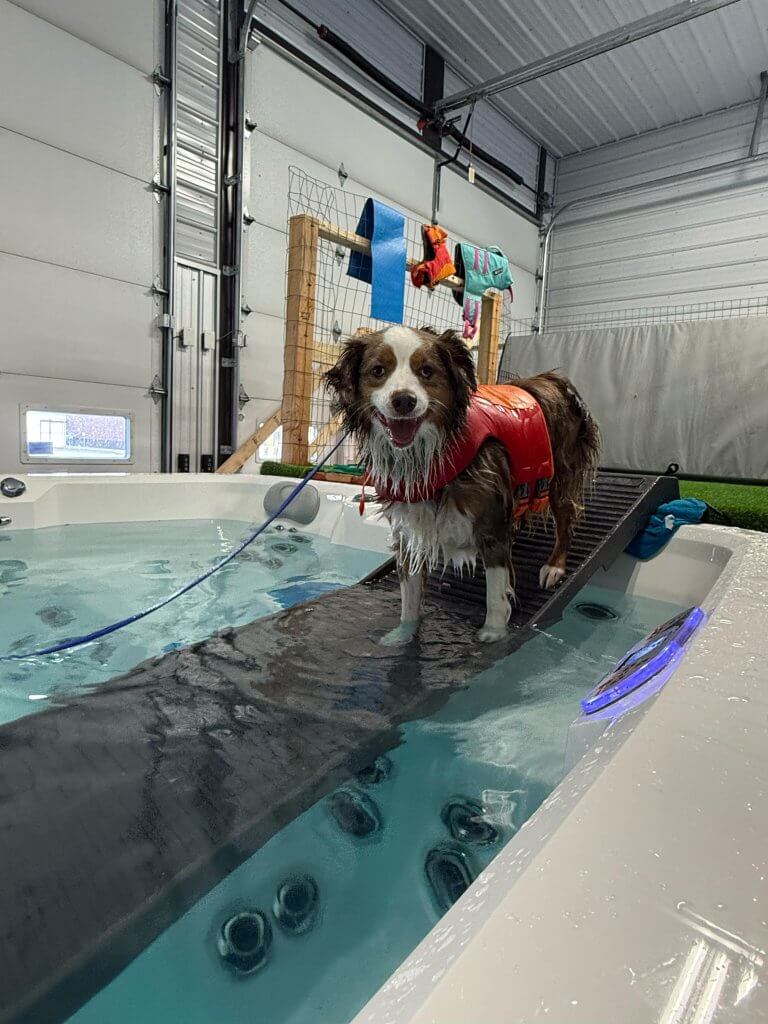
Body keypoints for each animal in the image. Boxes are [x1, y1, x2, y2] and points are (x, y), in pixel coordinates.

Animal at [325, 323, 602, 643]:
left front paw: (492, 635)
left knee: (566, 518)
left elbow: (496, 596)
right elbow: (409, 599)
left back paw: (554, 566)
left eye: (427, 371)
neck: (427, 454)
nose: (404, 401)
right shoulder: (410, 530)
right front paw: (402, 636)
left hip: (560, 476)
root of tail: (554, 379)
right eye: (378, 370)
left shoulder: (491, 526)